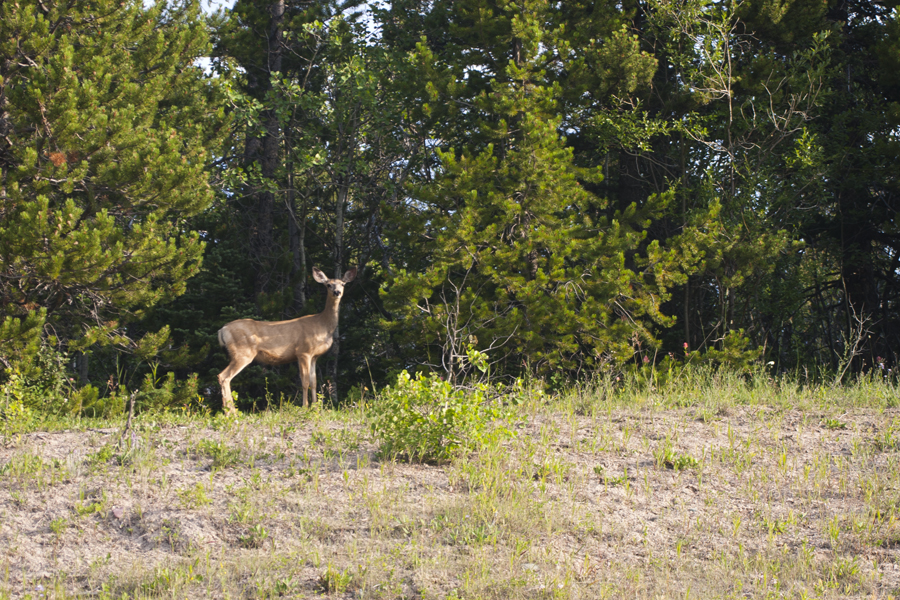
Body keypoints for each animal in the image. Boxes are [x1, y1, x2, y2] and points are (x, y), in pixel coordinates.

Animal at [217, 267, 357, 414]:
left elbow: (314, 382)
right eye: (328, 284)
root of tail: (222, 330)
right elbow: (305, 382)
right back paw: (231, 412)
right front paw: (305, 407)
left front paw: (316, 407)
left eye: (343, 284)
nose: (337, 292)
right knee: (223, 376)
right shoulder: (303, 352)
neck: (322, 325)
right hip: (242, 353)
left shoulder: (314, 356)